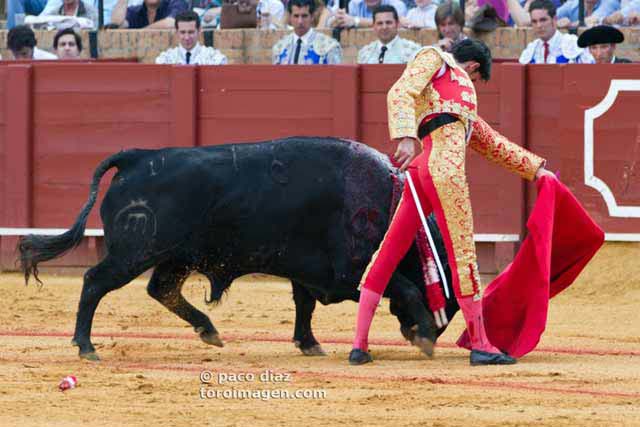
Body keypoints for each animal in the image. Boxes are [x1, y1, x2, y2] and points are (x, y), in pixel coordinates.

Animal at [18, 137, 460, 362]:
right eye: (450, 296)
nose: (435, 330)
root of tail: (137, 156)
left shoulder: (309, 271)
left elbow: (304, 305)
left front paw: (308, 343)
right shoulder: (349, 270)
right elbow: (404, 287)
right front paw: (425, 336)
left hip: (177, 257)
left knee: (161, 289)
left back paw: (209, 330)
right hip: (134, 253)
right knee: (95, 282)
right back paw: (86, 346)